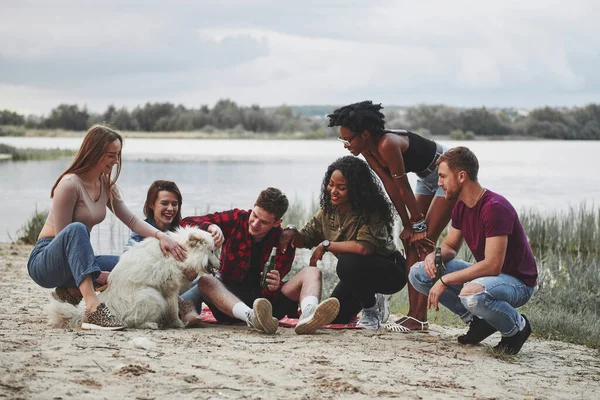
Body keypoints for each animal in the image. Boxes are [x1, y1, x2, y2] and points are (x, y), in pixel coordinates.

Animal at [47, 227, 220, 330]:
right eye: (212, 251)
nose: (219, 264)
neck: (180, 253)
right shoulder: (169, 290)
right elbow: (173, 309)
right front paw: (178, 324)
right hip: (152, 295)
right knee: (131, 322)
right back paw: (150, 324)